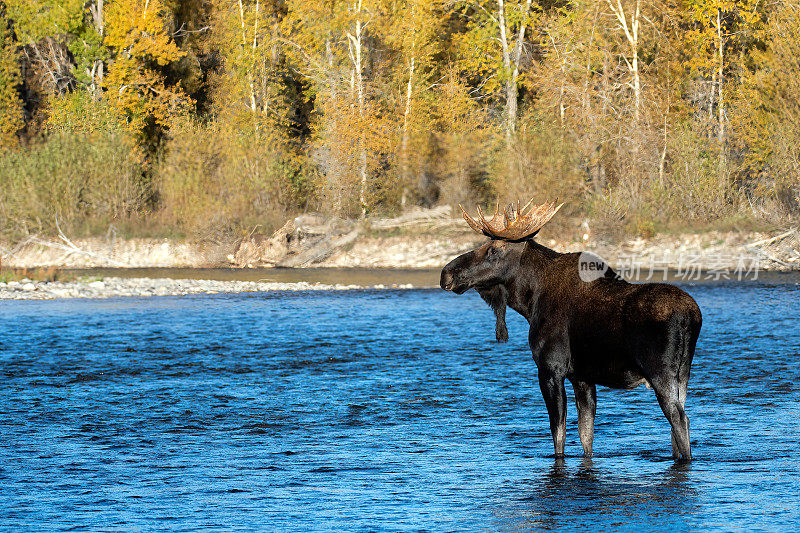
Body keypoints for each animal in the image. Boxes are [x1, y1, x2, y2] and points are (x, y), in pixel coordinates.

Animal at [440, 202, 704, 460]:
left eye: (493, 250)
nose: (446, 274)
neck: (530, 302)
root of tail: (691, 316)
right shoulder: (582, 377)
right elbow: (585, 436)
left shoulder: (550, 369)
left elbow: (558, 434)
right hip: (683, 375)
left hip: (661, 373)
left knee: (681, 421)